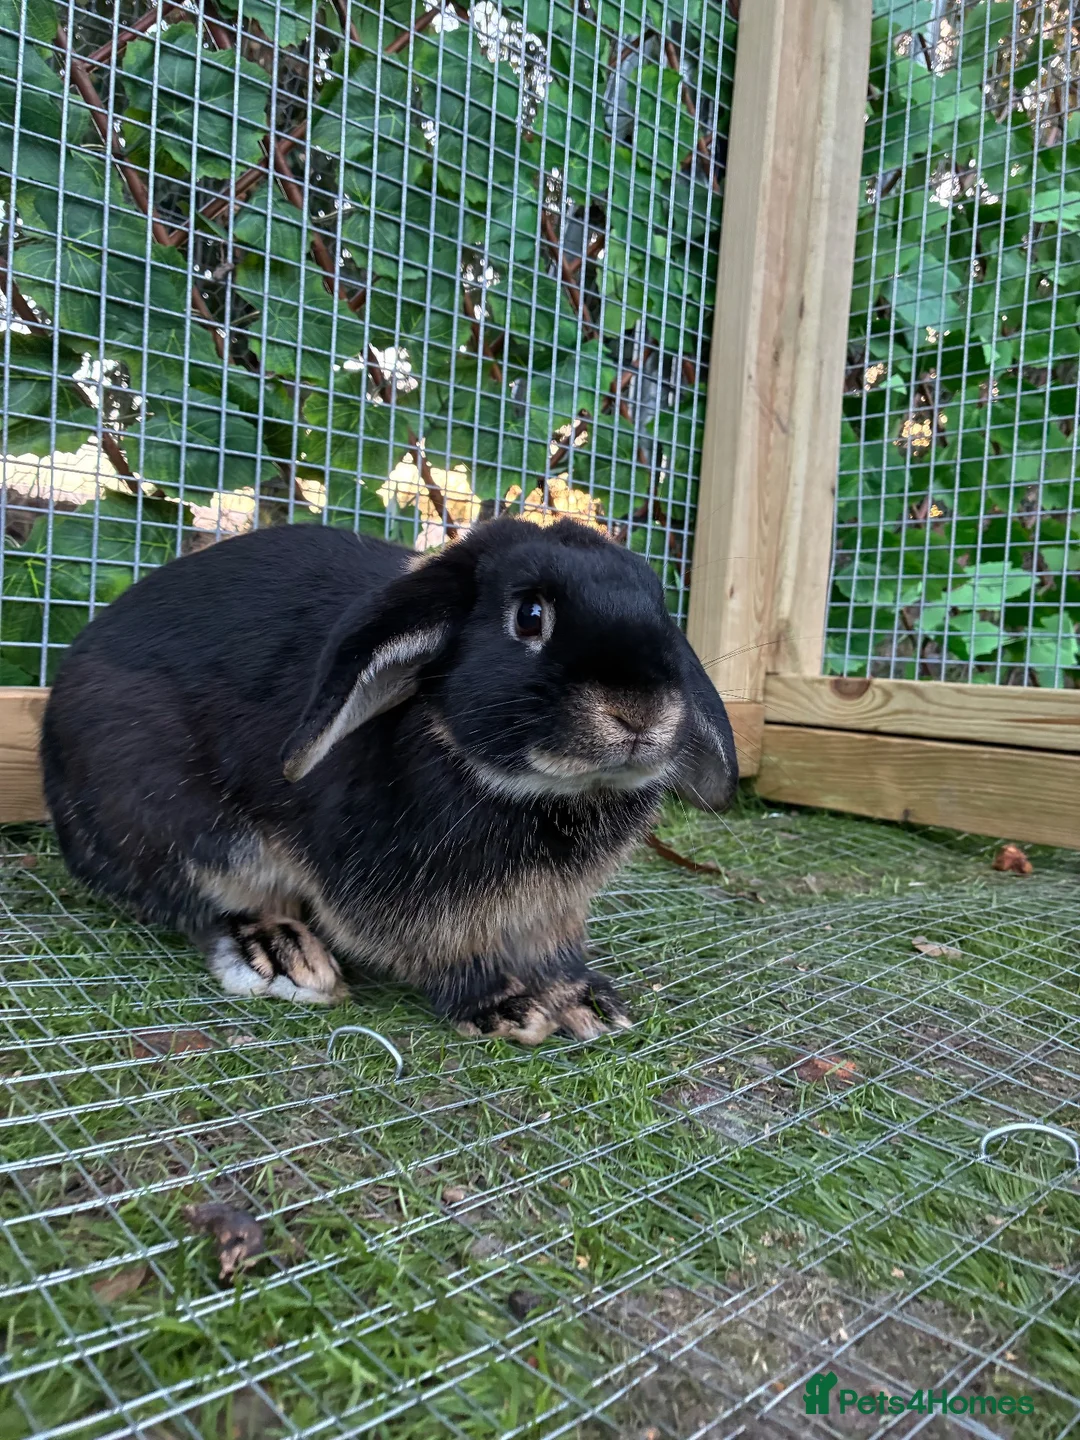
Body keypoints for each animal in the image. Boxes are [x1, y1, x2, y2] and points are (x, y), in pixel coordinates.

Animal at [41, 515, 736, 1044]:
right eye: (530, 616)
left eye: (660, 610)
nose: (639, 710)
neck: (545, 791)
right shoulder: (401, 896)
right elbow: (439, 951)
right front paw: (507, 1005)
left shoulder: (552, 907)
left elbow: (552, 947)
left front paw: (585, 1001)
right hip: (181, 821)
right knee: (205, 899)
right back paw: (281, 953)